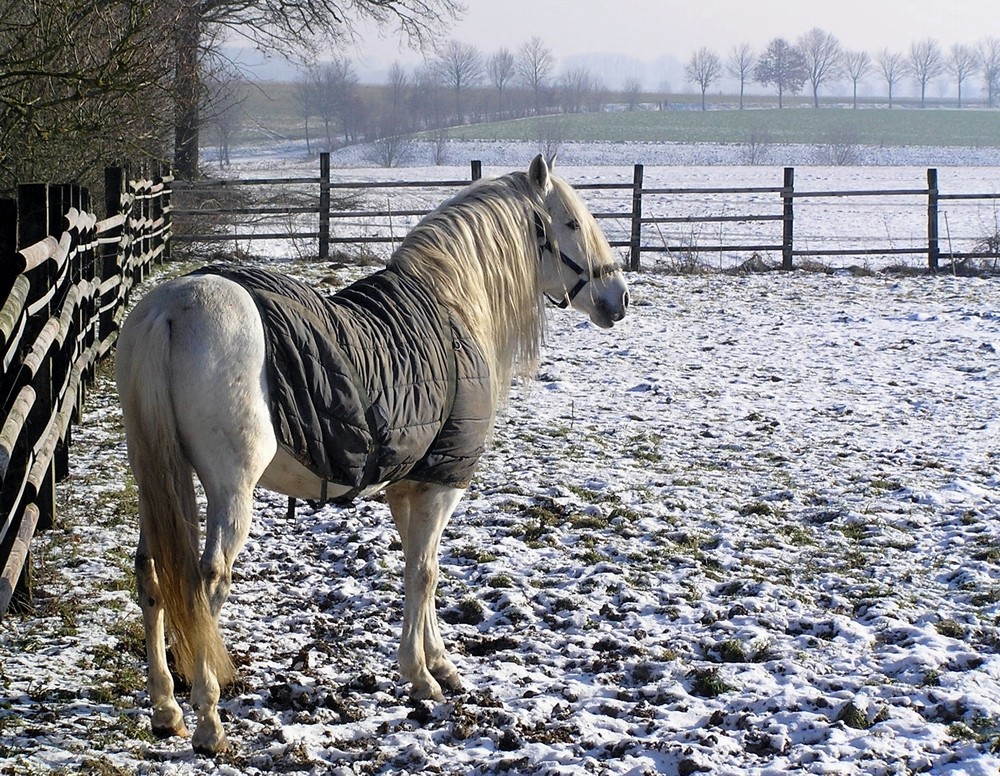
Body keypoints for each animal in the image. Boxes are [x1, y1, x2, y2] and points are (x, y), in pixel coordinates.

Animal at [111, 155, 624, 756]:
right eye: (569, 223)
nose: (618, 298)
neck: (452, 306)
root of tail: (173, 307)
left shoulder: (408, 489)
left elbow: (419, 570)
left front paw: (438, 665)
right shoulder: (441, 486)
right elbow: (425, 573)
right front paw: (423, 678)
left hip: (159, 480)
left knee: (151, 577)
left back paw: (166, 709)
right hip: (229, 491)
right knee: (203, 585)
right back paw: (209, 721)